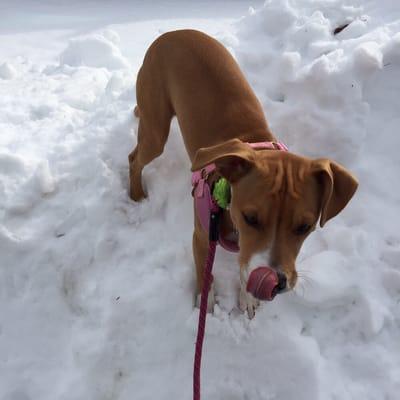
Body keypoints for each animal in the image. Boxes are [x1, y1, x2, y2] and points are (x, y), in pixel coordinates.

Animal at [127, 29, 356, 318]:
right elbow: (205, 274)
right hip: (155, 129)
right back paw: (135, 194)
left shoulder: (245, 247)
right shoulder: (201, 238)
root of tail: (171, 33)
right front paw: (205, 304)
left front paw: (247, 297)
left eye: (305, 227)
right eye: (251, 218)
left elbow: (245, 262)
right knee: (134, 158)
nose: (276, 281)